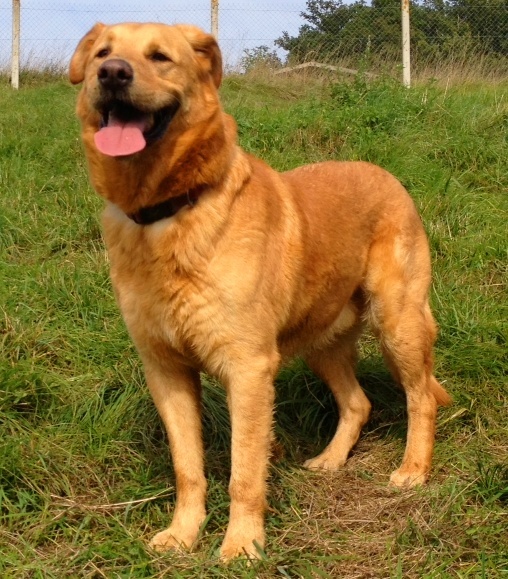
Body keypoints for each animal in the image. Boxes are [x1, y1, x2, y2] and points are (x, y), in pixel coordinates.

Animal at [68, 23, 452, 560]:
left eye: (160, 57)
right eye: (103, 53)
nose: (112, 74)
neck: (172, 212)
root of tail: (386, 174)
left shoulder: (248, 370)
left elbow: (244, 473)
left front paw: (242, 546)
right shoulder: (166, 371)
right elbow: (188, 468)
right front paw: (183, 534)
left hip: (399, 324)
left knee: (421, 400)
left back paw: (413, 470)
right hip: (322, 343)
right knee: (358, 403)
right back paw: (331, 459)